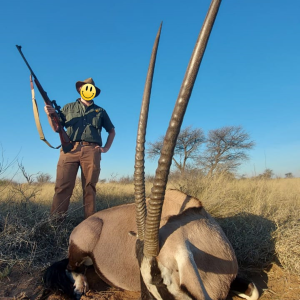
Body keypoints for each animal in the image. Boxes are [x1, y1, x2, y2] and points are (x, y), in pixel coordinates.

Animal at [42, 0, 260, 300]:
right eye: (152, 281)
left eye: (163, 280)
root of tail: (88, 222)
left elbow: (254, 290)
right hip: (78, 249)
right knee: (73, 268)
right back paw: (80, 285)